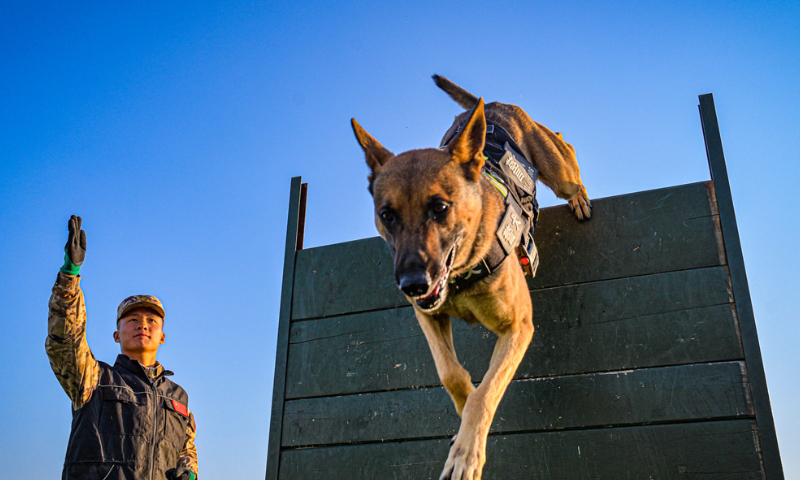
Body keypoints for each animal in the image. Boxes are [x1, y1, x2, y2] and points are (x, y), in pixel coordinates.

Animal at [354, 76, 592, 480]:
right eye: (387, 215)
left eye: (439, 207)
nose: (412, 285)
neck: (462, 271)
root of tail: (492, 104)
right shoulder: (428, 316)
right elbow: (450, 373)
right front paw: (462, 418)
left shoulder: (517, 328)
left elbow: (485, 393)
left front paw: (467, 454)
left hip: (559, 171)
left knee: (568, 153)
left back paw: (578, 198)